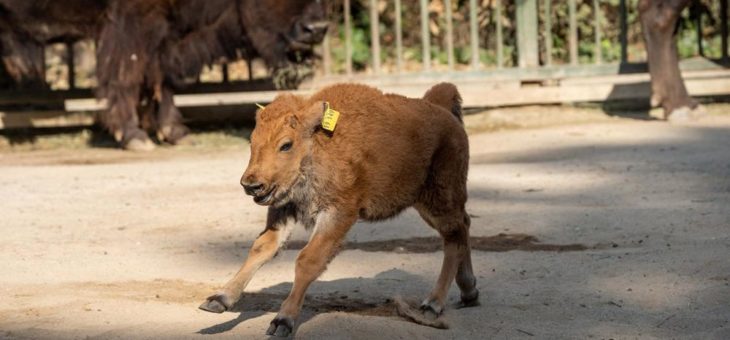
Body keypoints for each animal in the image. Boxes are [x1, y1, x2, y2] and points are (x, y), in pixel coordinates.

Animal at [0, 0, 324, 150]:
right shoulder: (132, 25)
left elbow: (158, 80)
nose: (316, 29)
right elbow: (127, 77)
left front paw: (175, 132)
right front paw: (135, 137)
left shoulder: (163, 33)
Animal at [199, 83, 478, 338]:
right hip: (426, 203)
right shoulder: (284, 211)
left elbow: (308, 260)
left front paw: (282, 321)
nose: (251, 184)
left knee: (454, 236)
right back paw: (469, 292)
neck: (318, 143)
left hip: (440, 199)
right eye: (252, 142)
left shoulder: (337, 214)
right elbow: (261, 248)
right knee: (462, 227)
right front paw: (218, 300)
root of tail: (442, 110)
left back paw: (433, 304)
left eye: (286, 145)